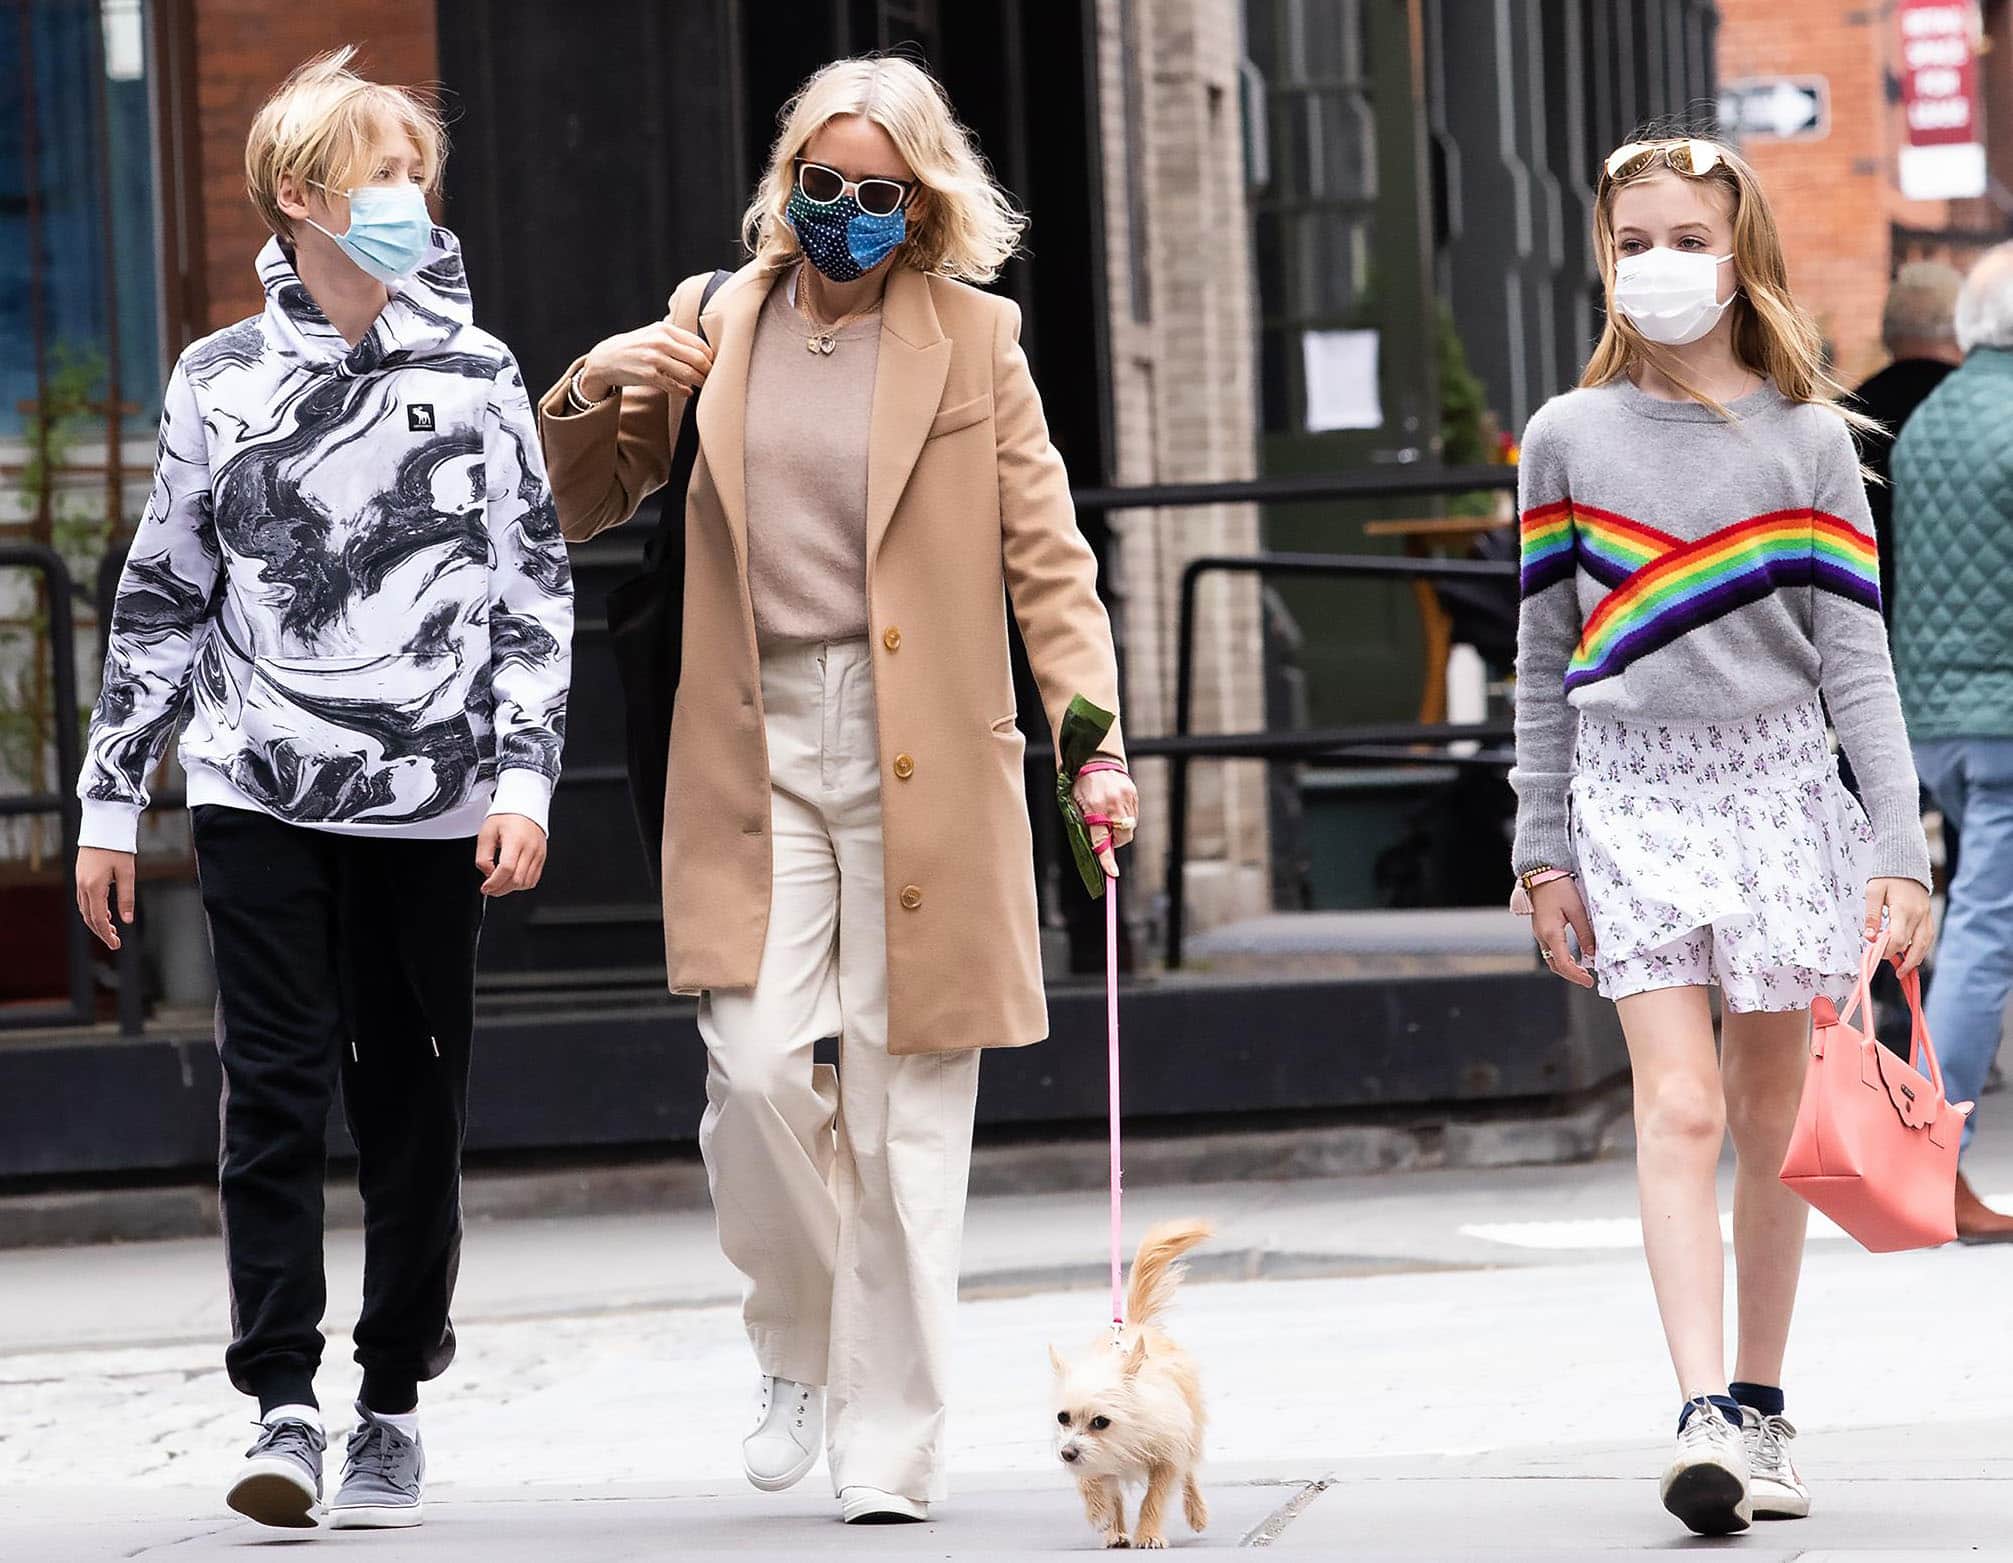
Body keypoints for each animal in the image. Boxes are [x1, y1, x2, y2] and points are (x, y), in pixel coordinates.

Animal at [1054, 1224, 1207, 1546]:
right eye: (1062, 1417)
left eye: (1101, 1422)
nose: (1066, 1453)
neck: (1124, 1438)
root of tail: (1136, 1325)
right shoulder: (1092, 1459)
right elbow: (1092, 1482)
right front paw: (1099, 1512)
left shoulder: (1167, 1458)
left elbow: (1155, 1497)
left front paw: (1148, 1534)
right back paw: (1116, 1531)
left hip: (1190, 1432)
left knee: (1189, 1473)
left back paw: (1197, 1512)